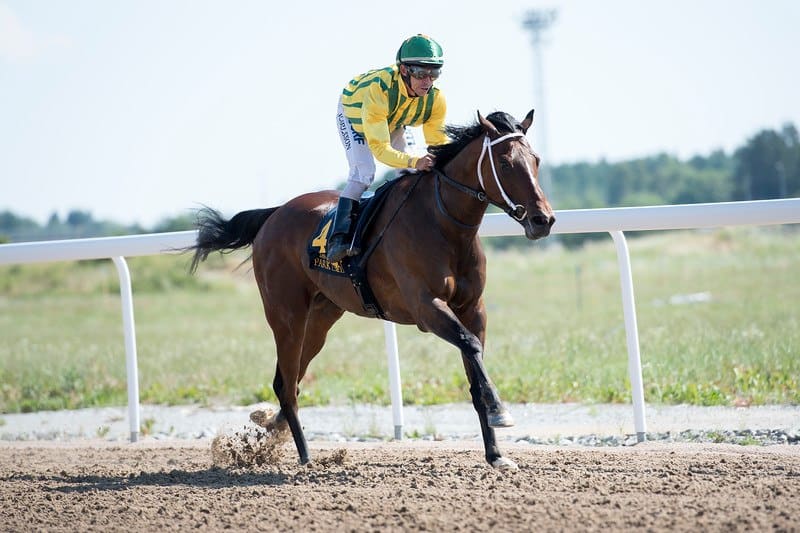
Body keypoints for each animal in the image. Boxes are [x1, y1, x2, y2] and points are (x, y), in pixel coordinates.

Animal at [187, 109, 552, 470]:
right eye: (504, 163)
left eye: (535, 160)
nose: (543, 220)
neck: (443, 224)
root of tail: (274, 214)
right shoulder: (426, 307)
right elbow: (471, 344)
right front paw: (500, 412)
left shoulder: (473, 308)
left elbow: (474, 368)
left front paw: (496, 453)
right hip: (286, 316)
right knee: (287, 384)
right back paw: (305, 456)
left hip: (321, 318)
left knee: (289, 379)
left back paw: (272, 426)